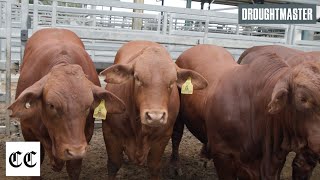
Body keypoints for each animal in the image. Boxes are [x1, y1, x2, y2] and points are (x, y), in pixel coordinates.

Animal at [7, 28, 125, 179]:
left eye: (88, 106)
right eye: (51, 105)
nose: (75, 151)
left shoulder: (85, 135)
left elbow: (74, 168)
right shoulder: (28, 132)